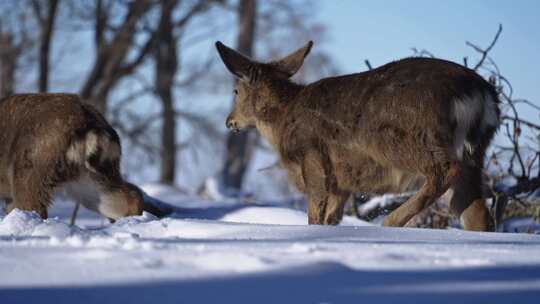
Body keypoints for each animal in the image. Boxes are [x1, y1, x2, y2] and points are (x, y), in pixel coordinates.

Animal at [216, 39, 502, 230]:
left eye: (236, 91)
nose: (230, 121)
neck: (282, 121)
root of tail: (480, 94)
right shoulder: (342, 182)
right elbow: (331, 218)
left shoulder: (312, 155)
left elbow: (315, 213)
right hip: (476, 150)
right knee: (476, 210)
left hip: (404, 138)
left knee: (445, 170)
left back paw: (391, 221)